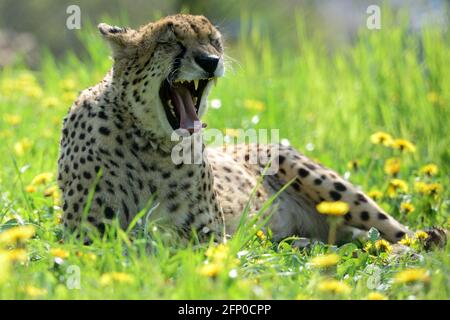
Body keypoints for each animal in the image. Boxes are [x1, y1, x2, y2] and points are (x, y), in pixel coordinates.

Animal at [57, 13, 446, 246]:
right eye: (170, 42)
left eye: (213, 41)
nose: (210, 61)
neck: (150, 142)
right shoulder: (86, 235)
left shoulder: (207, 236)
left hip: (316, 177)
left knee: (396, 235)